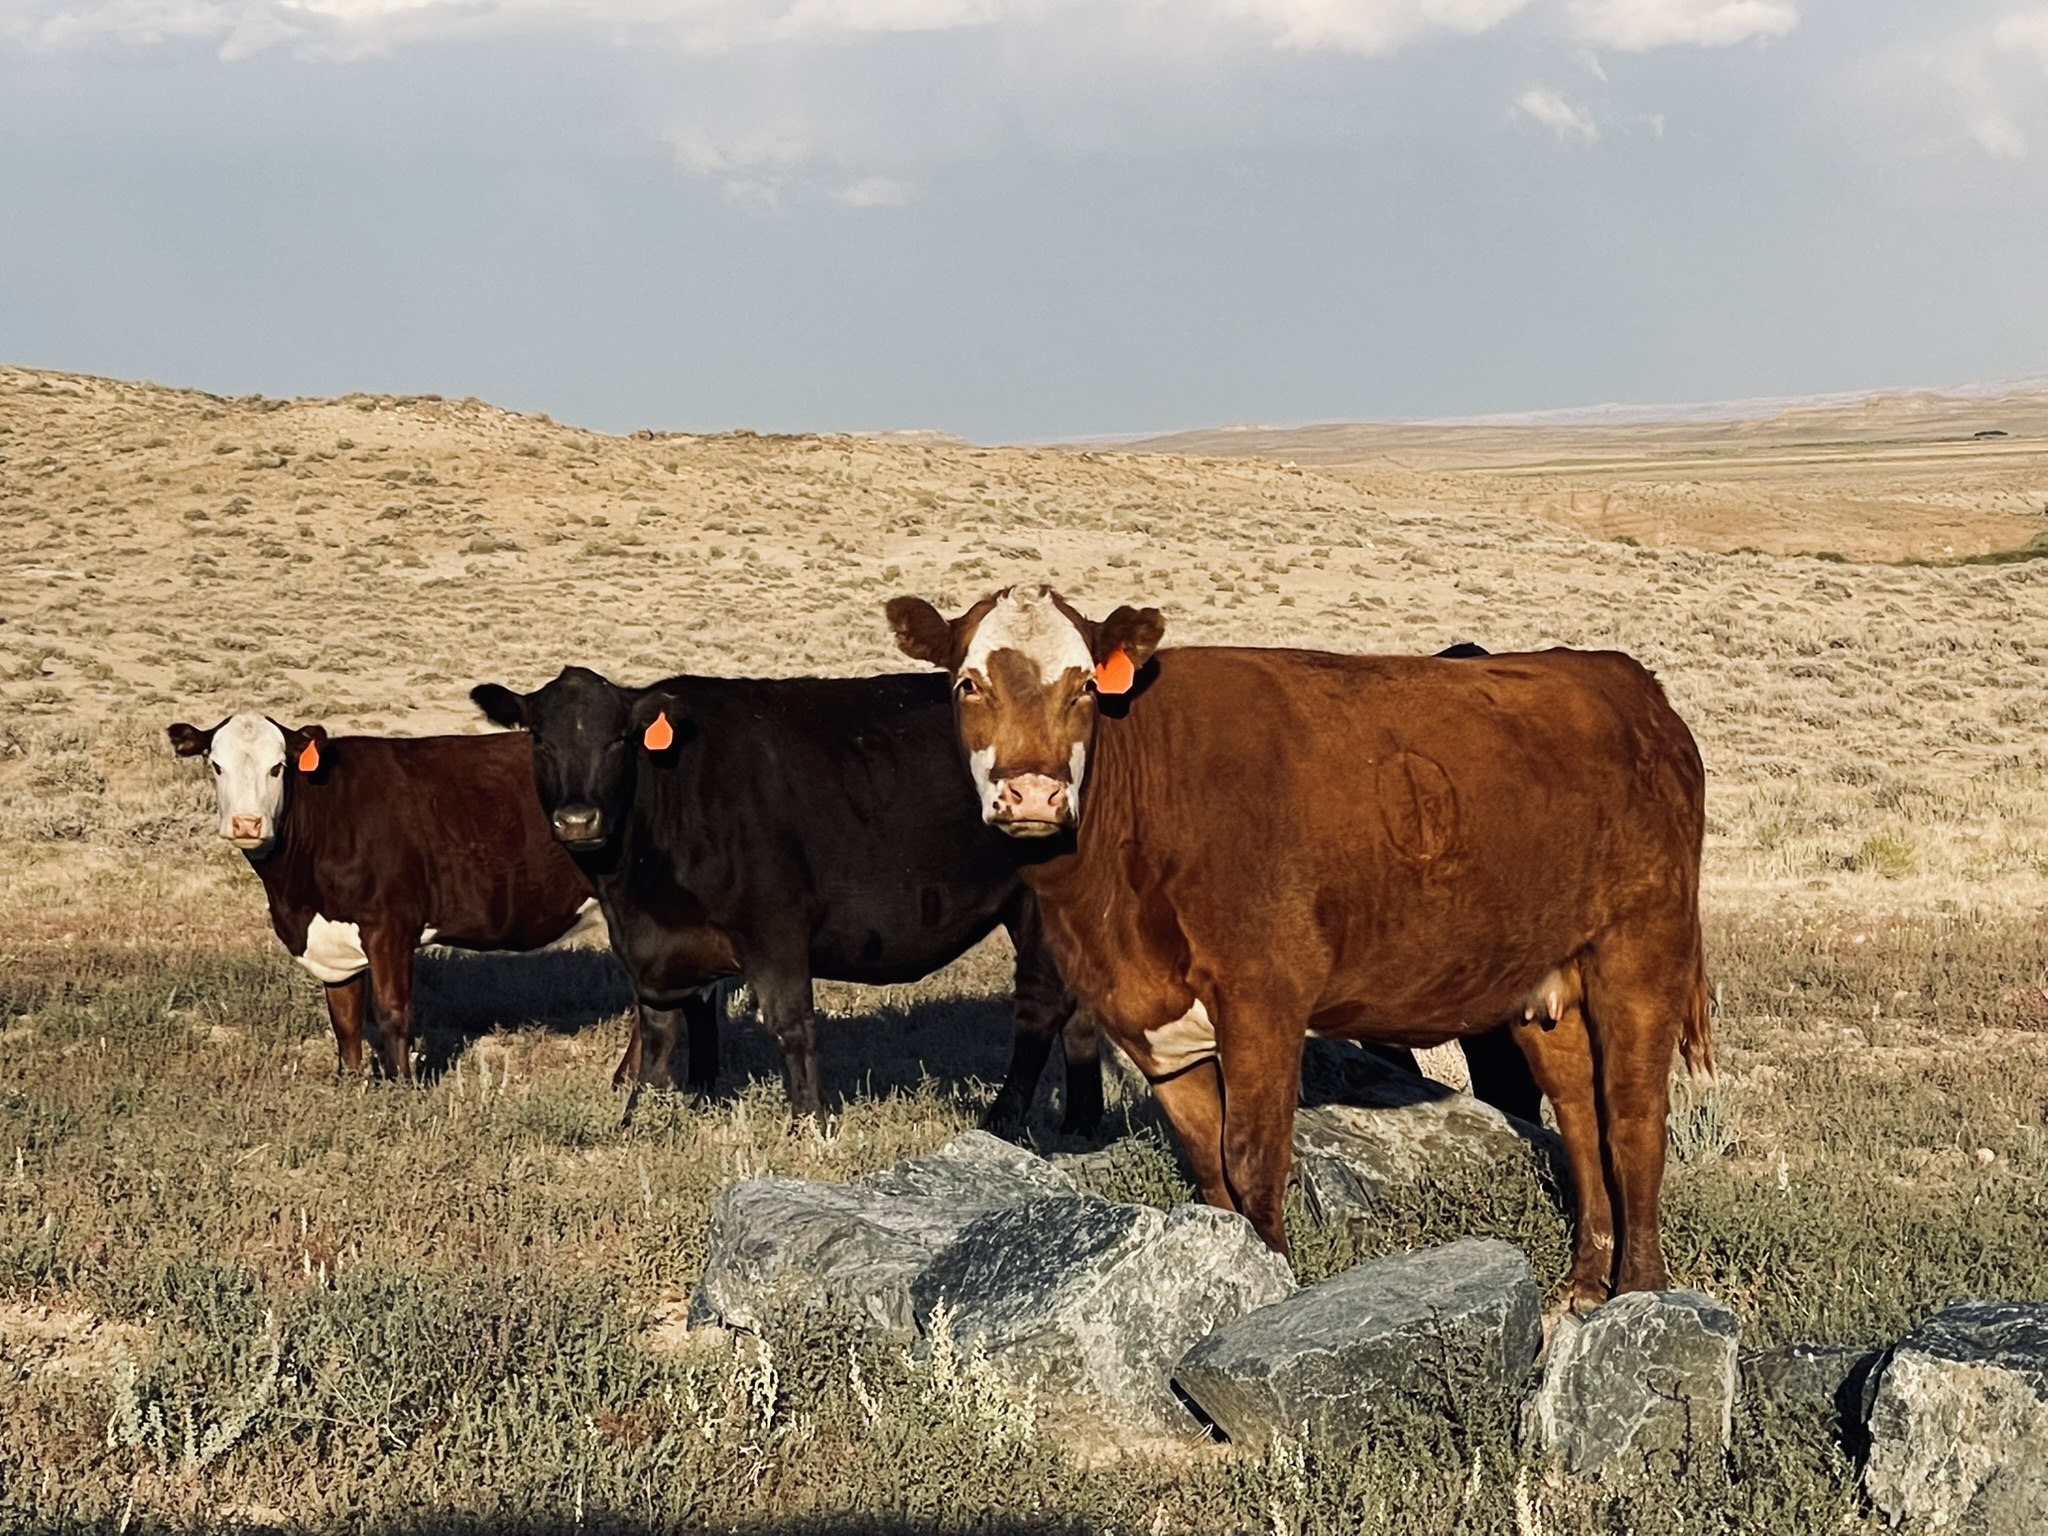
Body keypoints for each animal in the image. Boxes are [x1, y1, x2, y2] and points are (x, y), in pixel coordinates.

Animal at [167, 714, 630, 1084]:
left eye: (278, 767)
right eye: (216, 765)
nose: (246, 823)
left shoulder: (390, 924)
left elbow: (392, 1010)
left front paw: (402, 1085)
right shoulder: (333, 936)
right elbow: (345, 1017)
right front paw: (351, 1080)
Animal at [468, 666, 1096, 1133]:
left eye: (618, 739)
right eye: (540, 739)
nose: (578, 820)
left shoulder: (775, 927)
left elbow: (791, 1025)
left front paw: (810, 1125)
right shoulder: (653, 953)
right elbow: (657, 1039)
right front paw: (635, 1121)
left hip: (1040, 904)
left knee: (1040, 1009)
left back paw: (1004, 1120)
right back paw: (1082, 1124)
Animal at [884, 584, 1711, 1308]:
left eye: (1086, 686)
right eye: (967, 684)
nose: (1033, 793)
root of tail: (1627, 681)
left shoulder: (1264, 997)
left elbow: (1253, 1158)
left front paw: (1272, 1282)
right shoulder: (1153, 1024)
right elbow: (1208, 1168)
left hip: (1642, 952)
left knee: (1633, 1116)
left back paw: (1638, 1290)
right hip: (1545, 982)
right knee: (1579, 1116)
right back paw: (1584, 1285)